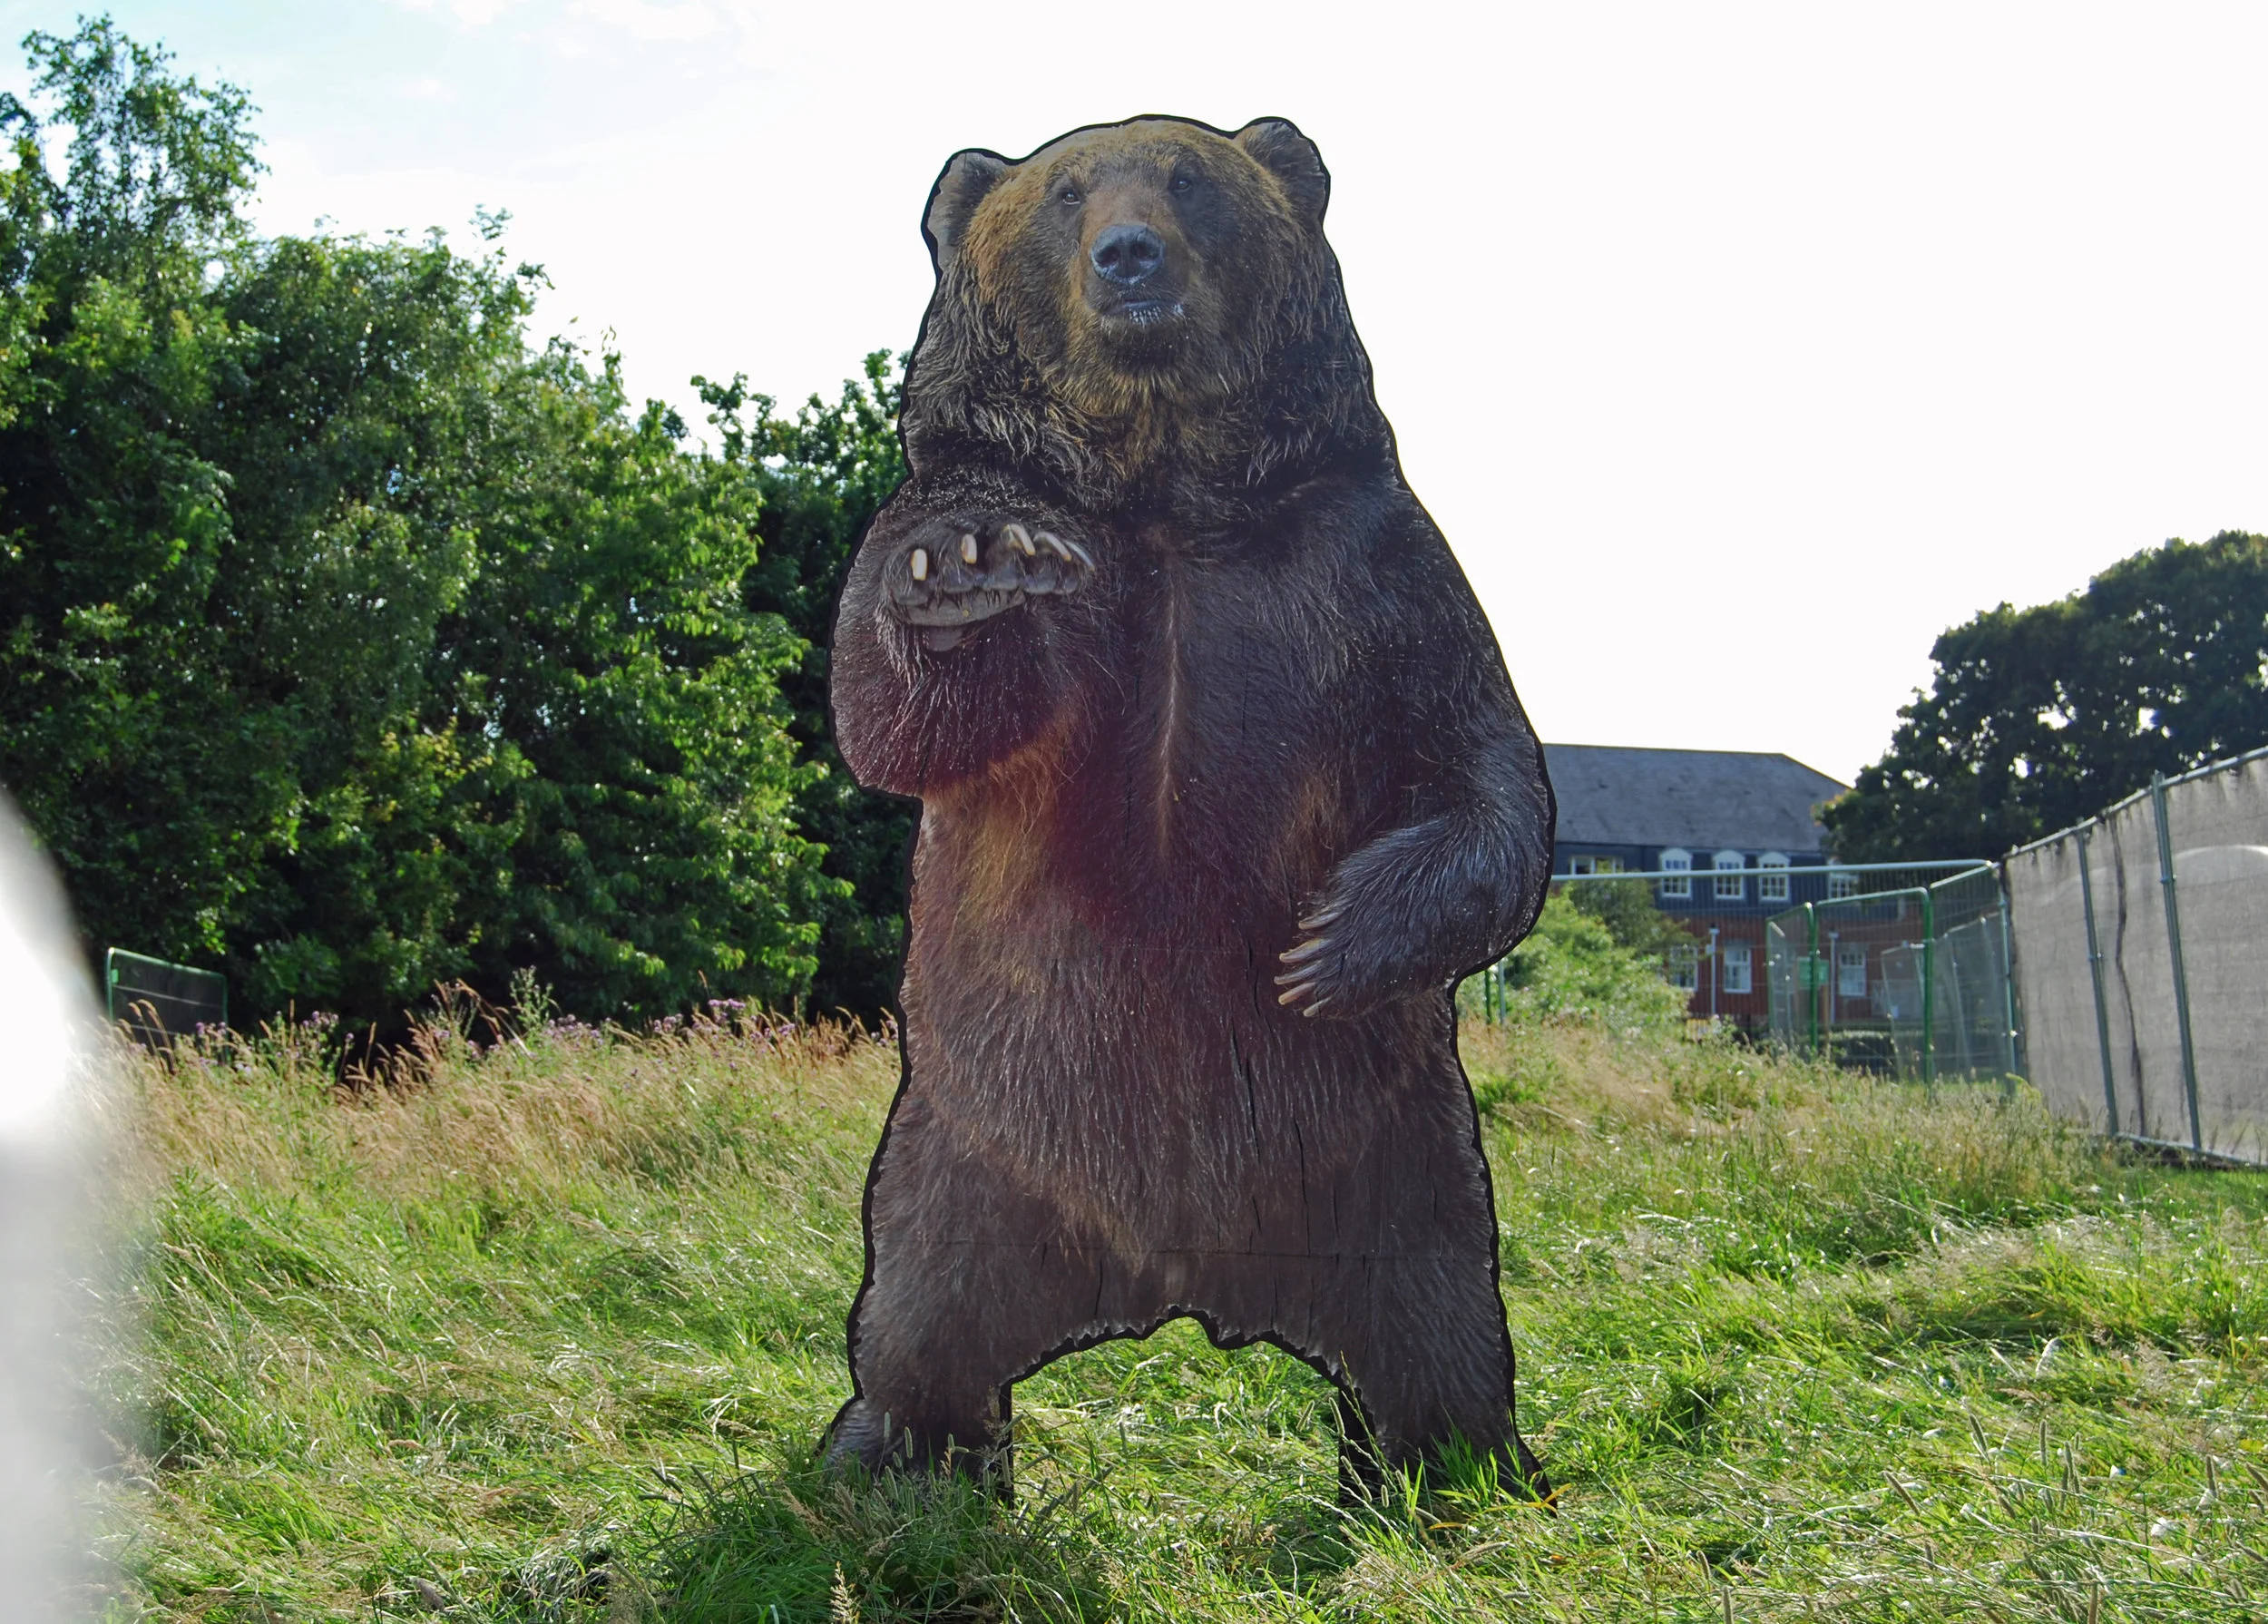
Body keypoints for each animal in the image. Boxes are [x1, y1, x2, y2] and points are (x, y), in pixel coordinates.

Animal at [826, 115, 1556, 1497]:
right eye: (1065, 189)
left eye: (1187, 177)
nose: (1129, 256)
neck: (1164, 496)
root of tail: (1176, 1284)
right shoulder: (970, 519)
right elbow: (893, 718)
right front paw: (966, 579)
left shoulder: (1369, 563)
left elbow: (1480, 763)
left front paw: (1332, 938)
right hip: (962, 1157)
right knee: (913, 1319)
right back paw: (879, 1447)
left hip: (1400, 1163)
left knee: (1442, 1329)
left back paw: (1461, 1465)